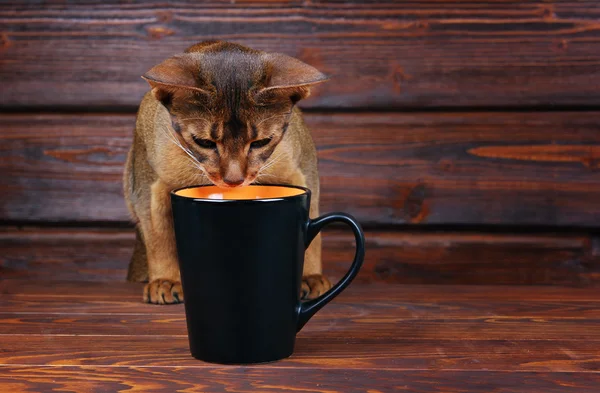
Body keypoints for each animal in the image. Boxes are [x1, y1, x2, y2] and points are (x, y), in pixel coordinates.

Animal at [121, 40, 328, 304]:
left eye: (261, 142)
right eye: (204, 142)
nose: (234, 180)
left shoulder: (303, 168)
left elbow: (311, 233)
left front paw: (309, 276)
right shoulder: (148, 185)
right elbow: (160, 237)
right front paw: (166, 281)